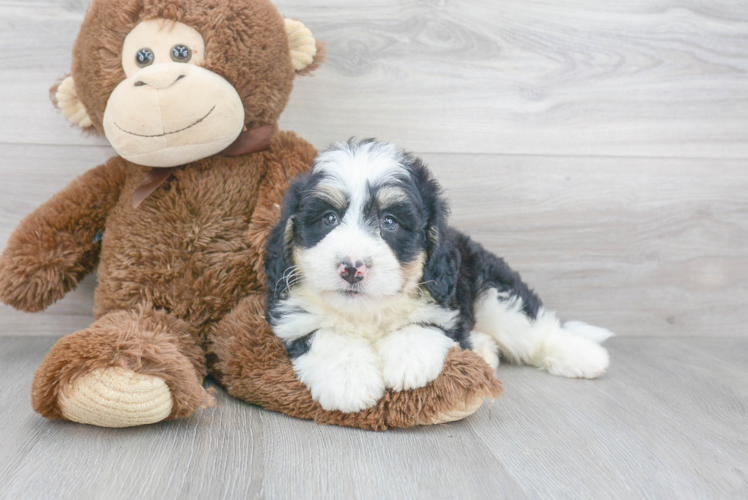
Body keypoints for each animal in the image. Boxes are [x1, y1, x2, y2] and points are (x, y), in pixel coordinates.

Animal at [266, 139, 612, 412]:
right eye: (328, 218)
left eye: (390, 222)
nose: (352, 267)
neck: (368, 314)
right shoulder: (290, 314)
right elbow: (323, 334)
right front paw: (349, 380)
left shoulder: (446, 299)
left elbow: (423, 324)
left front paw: (408, 362)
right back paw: (485, 351)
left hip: (493, 293)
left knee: (534, 328)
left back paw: (585, 356)